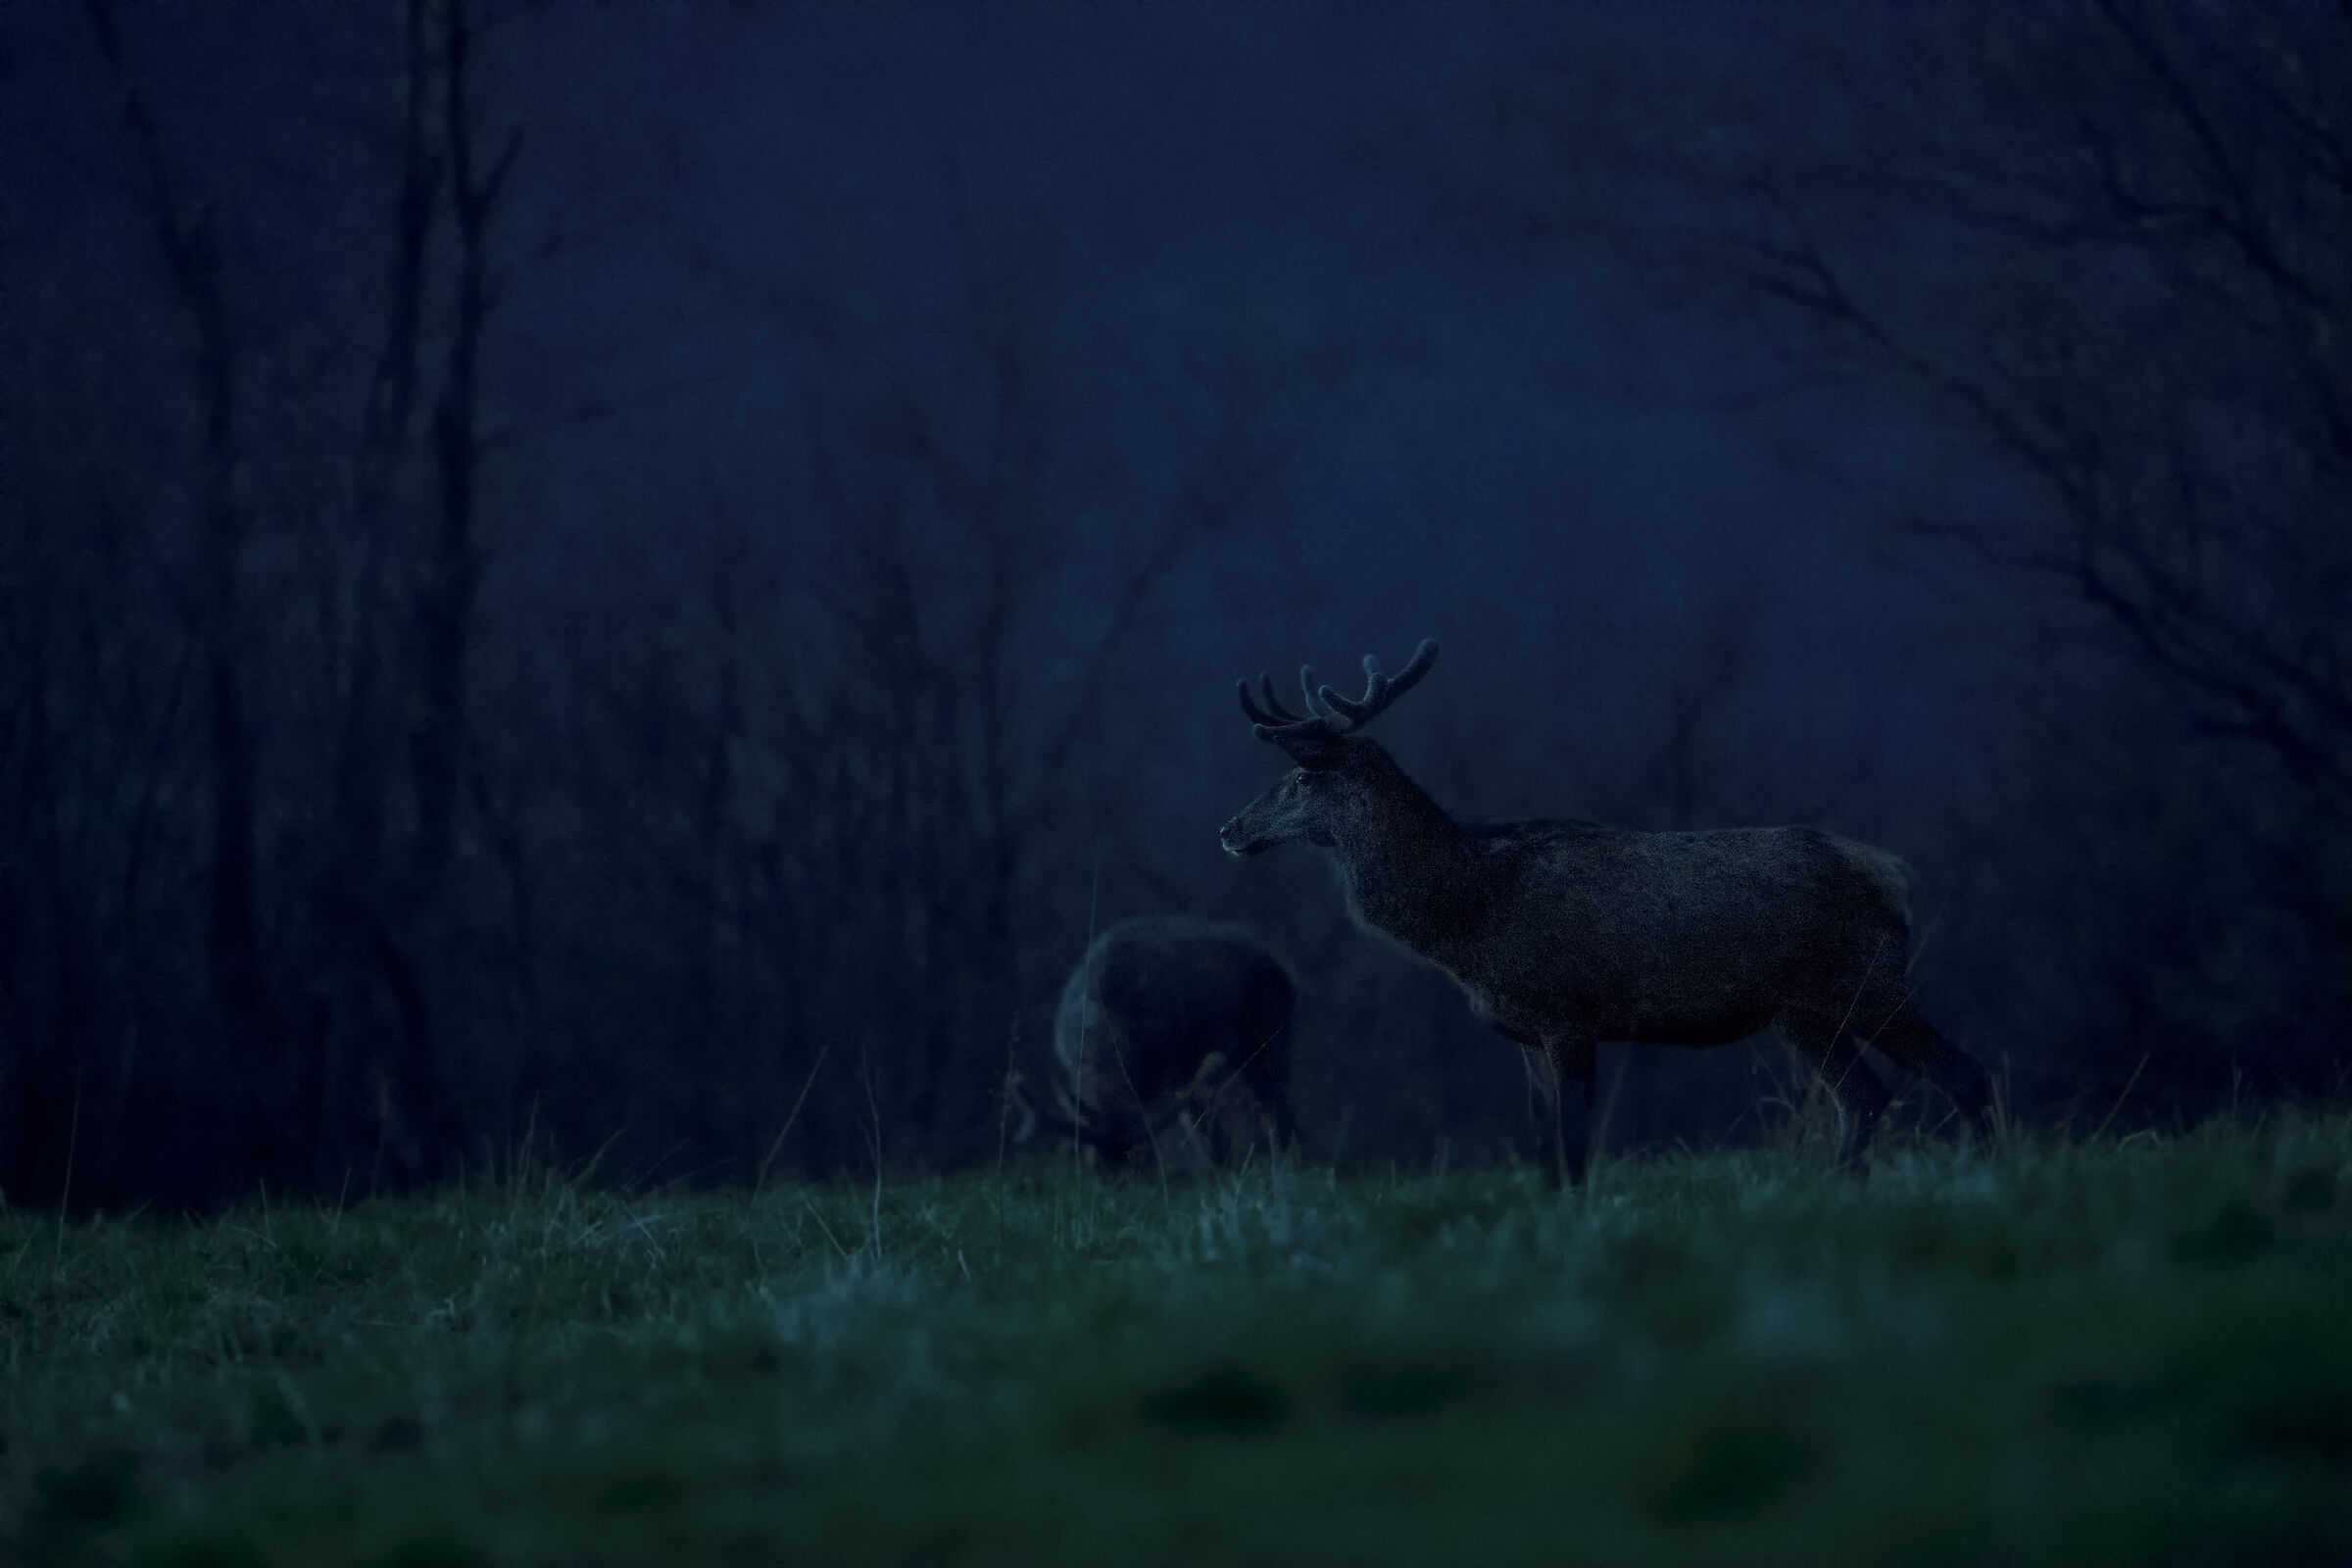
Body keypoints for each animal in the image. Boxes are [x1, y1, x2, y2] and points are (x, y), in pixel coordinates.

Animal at [1039, 916, 1298, 1171]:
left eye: (1129, 1152)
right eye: (1098, 1157)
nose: (1117, 1178)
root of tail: (1279, 967)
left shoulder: (1170, 1069)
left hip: (1267, 1045)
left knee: (1274, 1105)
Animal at [1219, 639, 1994, 1185]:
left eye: (1299, 778)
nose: (1229, 829)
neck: (1468, 918)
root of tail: (1894, 875)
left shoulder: (1568, 1014)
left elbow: (1574, 1147)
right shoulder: (1526, 1033)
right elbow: (1544, 1147)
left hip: (1868, 982)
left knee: (1961, 1072)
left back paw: (1986, 1171)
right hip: (1803, 1012)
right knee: (1864, 1097)